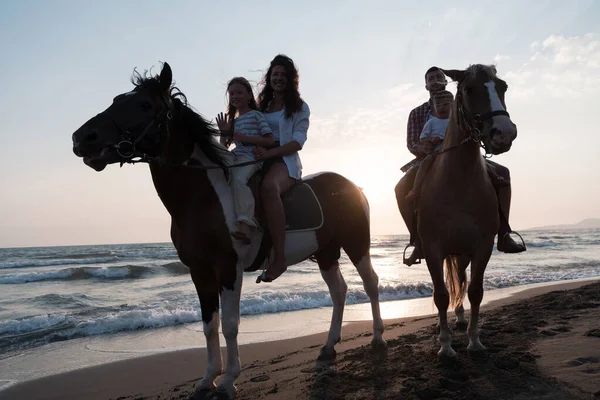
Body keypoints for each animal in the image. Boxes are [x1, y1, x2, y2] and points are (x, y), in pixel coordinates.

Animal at [71, 61, 390, 396]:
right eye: (117, 99)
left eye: (144, 105)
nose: (82, 138)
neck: (203, 195)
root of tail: (353, 186)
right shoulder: (199, 271)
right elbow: (209, 325)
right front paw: (208, 378)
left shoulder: (227, 267)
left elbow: (231, 325)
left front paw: (228, 380)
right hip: (326, 252)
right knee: (339, 292)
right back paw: (329, 346)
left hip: (357, 244)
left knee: (370, 283)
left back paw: (378, 337)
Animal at [414, 64, 516, 358]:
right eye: (469, 89)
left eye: (503, 87)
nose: (504, 133)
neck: (459, 182)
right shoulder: (433, 248)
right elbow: (440, 295)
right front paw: (446, 346)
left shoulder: (482, 246)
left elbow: (475, 291)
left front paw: (474, 341)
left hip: (462, 252)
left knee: (460, 279)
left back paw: (460, 319)